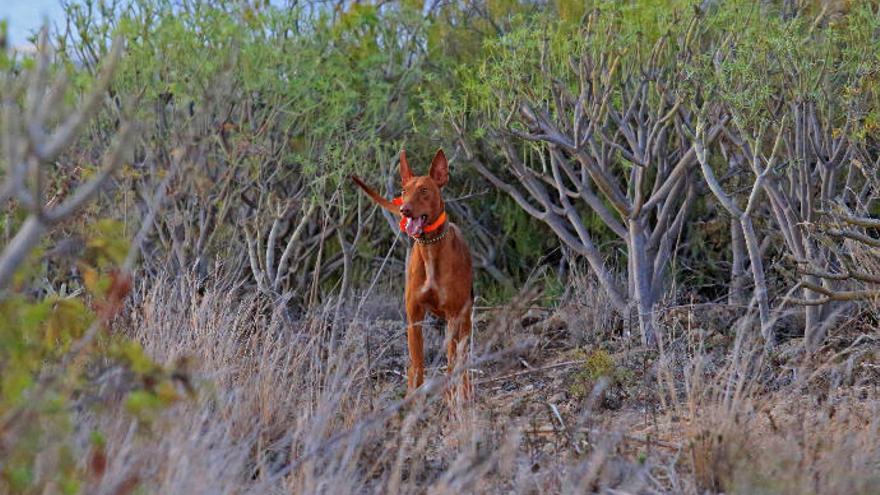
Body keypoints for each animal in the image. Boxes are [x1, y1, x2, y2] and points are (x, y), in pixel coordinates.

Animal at [352, 149, 474, 402]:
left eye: (424, 190)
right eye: (403, 192)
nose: (404, 210)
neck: (430, 248)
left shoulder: (453, 316)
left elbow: (451, 363)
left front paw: (451, 399)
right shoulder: (414, 317)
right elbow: (416, 365)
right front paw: (413, 399)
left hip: (464, 318)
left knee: (462, 357)